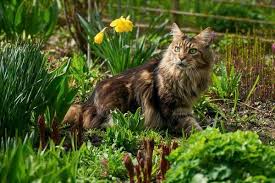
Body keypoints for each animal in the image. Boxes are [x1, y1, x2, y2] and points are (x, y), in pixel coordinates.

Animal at [64, 23, 216, 134]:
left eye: (192, 51)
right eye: (177, 49)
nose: (181, 58)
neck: (184, 77)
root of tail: (86, 103)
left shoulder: (185, 105)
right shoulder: (174, 109)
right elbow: (193, 126)